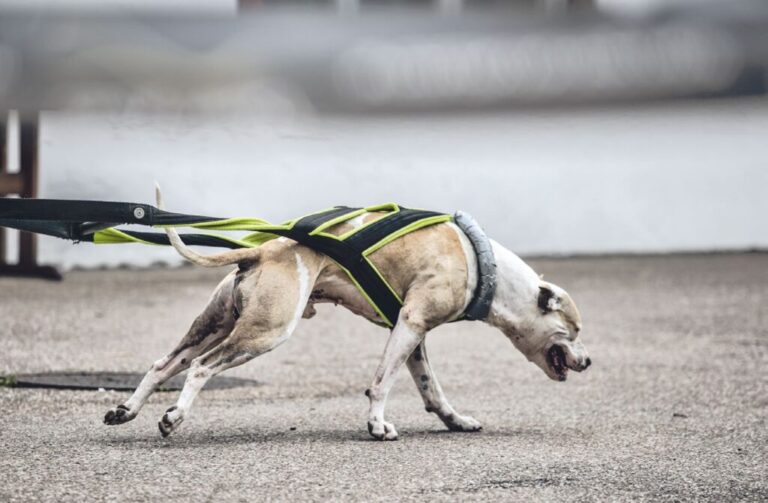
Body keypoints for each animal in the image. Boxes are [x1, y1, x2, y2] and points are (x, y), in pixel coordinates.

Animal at [105, 190, 592, 440]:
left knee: (165, 364)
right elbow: (381, 383)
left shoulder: (414, 334)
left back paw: (126, 410)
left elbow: (431, 390)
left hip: (214, 324)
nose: (588, 361)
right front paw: (377, 424)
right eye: (573, 329)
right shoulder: (410, 325)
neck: (482, 264)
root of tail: (261, 250)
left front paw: (455, 420)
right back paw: (173, 417)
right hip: (265, 332)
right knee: (202, 368)